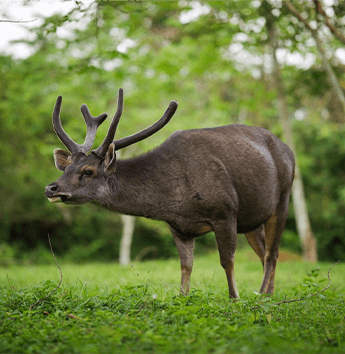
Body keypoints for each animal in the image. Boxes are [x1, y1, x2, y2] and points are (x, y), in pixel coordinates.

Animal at [44, 88, 294, 298]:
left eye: (88, 171)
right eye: (66, 168)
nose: (50, 188)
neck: (173, 199)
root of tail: (289, 150)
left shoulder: (225, 211)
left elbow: (227, 261)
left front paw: (235, 298)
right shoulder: (178, 226)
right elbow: (186, 265)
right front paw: (182, 296)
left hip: (283, 197)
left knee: (272, 253)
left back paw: (262, 294)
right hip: (252, 220)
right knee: (265, 252)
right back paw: (269, 293)